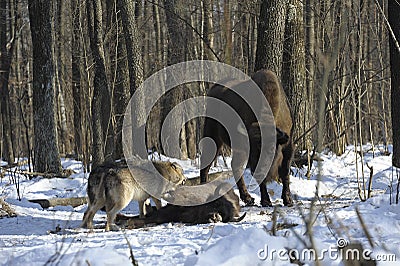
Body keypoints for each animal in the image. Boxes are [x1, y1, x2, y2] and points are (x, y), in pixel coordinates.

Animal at [200, 69, 294, 207]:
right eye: (253, 149)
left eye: (271, 149)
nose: (260, 170)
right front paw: (266, 201)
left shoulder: (288, 145)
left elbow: (285, 172)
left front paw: (288, 200)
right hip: (213, 136)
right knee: (207, 163)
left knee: (235, 166)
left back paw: (248, 198)